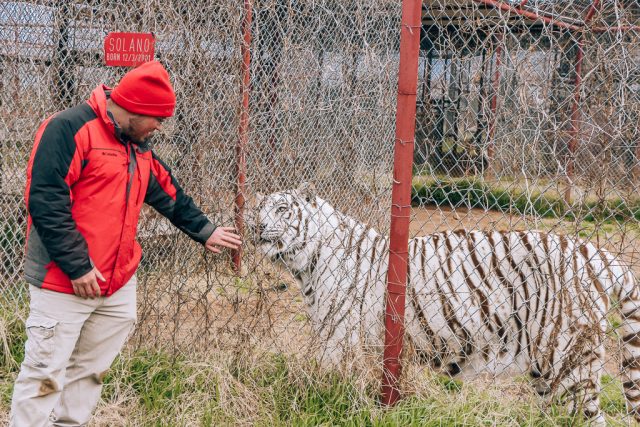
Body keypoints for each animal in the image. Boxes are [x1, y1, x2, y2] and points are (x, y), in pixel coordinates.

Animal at [252, 184, 640, 424]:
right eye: (260, 208)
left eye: (282, 209)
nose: (257, 226)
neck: (305, 263)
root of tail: (594, 252)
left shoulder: (337, 343)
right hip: (546, 374)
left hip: (569, 363)